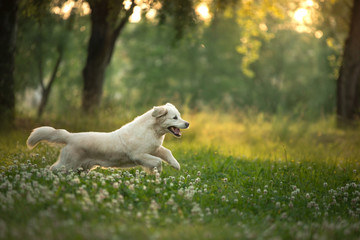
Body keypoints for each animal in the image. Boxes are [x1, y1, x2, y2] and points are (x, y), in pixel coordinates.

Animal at [26, 103, 190, 172]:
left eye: (180, 116)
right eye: (175, 118)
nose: (187, 123)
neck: (151, 130)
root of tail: (70, 136)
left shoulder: (154, 149)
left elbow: (167, 152)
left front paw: (176, 165)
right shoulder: (139, 155)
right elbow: (157, 162)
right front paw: (157, 172)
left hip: (79, 169)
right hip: (68, 164)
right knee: (51, 169)